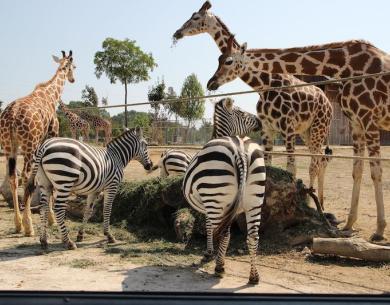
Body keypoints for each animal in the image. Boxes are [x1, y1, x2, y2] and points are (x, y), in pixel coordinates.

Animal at [0, 50, 76, 235]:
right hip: (28, 144)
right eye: (74, 67)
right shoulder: (51, 134)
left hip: (9, 146)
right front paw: (52, 219)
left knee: (13, 177)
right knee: (26, 177)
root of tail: (11, 117)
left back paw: (18, 224)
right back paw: (29, 226)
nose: (73, 79)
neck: (51, 95)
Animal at [22, 126, 154, 249]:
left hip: (45, 183)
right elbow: (107, 209)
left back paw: (43, 240)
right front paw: (109, 235)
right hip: (64, 181)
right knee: (58, 208)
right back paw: (68, 242)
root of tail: (44, 145)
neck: (117, 157)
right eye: (146, 145)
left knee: (43, 208)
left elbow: (88, 211)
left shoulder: (94, 190)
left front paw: (80, 235)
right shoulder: (112, 185)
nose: (150, 165)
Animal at [174, 1, 336, 208]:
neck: (264, 85)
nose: (177, 32)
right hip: (306, 132)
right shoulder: (267, 129)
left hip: (318, 129)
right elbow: (267, 165)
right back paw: (320, 202)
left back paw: (314, 202)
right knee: (321, 159)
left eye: (195, 17)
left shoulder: (288, 128)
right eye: (218, 59)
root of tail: (328, 102)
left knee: (315, 163)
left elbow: (291, 168)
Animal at [182, 135, 266, 282]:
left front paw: (209, 253)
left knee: (222, 234)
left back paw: (219, 267)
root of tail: (240, 150)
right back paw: (254, 276)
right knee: (253, 236)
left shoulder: (209, 207)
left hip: (214, 196)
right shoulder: (229, 211)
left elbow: (209, 227)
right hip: (255, 201)